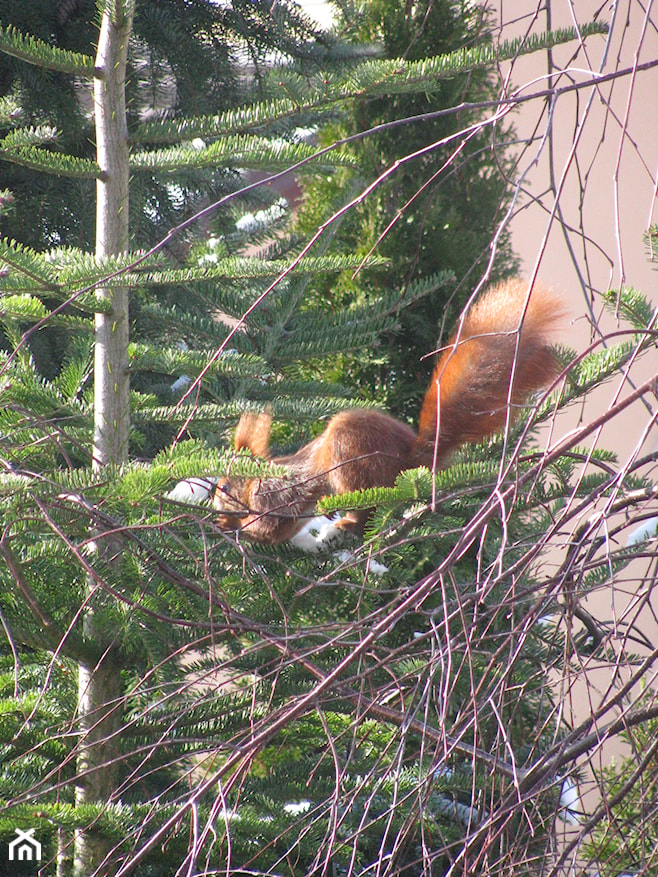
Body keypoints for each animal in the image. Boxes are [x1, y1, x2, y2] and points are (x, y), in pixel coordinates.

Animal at [213, 278, 560, 540]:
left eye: (225, 486)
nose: (215, 504)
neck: (262, 476)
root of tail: (409, 463)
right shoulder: (292, 509)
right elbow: (276, 534)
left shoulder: (274, 493)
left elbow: (263, 526)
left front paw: (228, 523)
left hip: (349, 458)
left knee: (364, 506)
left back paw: (345, 521)